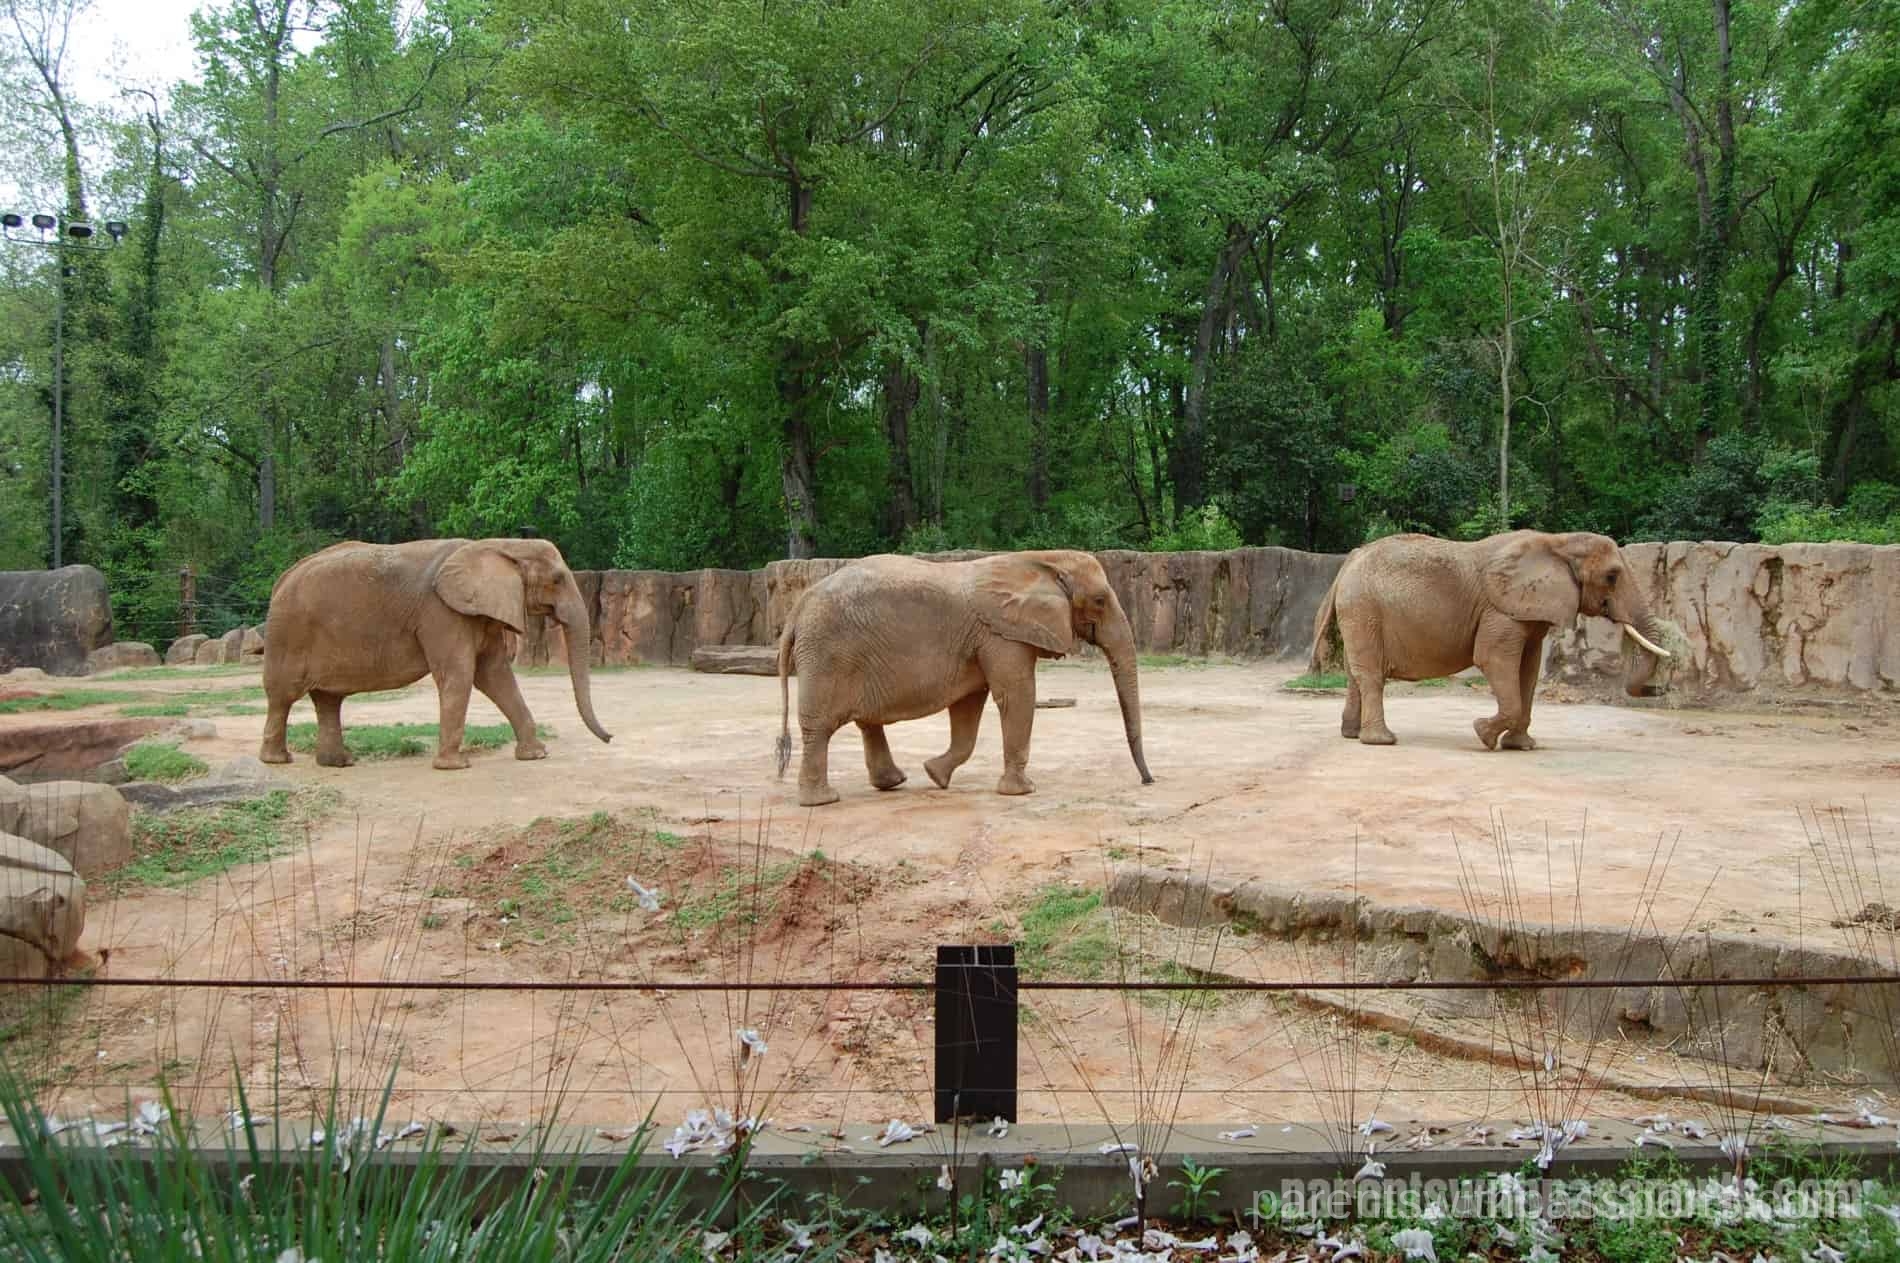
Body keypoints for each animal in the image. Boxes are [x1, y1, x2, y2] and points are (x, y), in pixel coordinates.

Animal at [256, 535, 611, 767]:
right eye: (557, 579)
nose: (610, 739)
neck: (501, 545)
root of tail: (282, 579)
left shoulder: (477, 613)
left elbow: (495, 674)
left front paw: (536, 755)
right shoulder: (441, 613)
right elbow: (460, 674)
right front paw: (455, 766)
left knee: (328, 699)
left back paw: (339, 762)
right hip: (288, 634)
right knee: (283, 695)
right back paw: (278, 760)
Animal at [775, 550, 1155, 809]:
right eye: (1100, 600)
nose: (1148, 781)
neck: (1043, 560)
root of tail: (797, 607)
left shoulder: (983, 639)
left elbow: (969, 704)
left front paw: (935, 775)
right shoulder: (1001, 633)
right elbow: (1016, 695)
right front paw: (1023, 791)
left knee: (867, 722)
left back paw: (893, 783)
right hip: (827, 654)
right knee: (819, 727)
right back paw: (823, 801)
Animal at [1314, 524, 1672, 748]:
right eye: (1612, 576)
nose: (1659, 691)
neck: (1558, 541)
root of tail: (1349, 562)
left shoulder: (1527, 611)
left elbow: (1528, 670)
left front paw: (1522, 746)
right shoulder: (1500, 610)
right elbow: (1493, 658)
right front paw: (1482, 734)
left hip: (1359, 610)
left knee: (1356, 673)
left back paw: (1351, 735)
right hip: (1364, 607)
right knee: (1371, 674)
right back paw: (1382, 741)